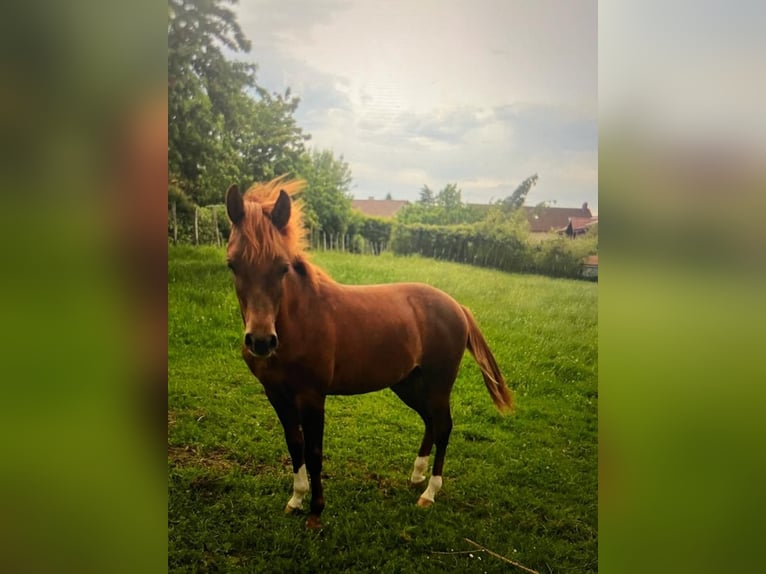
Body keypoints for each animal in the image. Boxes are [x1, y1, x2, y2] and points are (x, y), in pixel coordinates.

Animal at [226, 177, 516, 532]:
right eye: (232, 264)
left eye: (282, 268)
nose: (261, 341)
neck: (299, 319)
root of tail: (457, 307)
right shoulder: (276, 394)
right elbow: (295, 446)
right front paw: (295, 500)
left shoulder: (312, 396)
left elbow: (315, 452)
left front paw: (316, 511)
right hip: (408, 383)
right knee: (430, 422)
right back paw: (416, 476)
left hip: (438, 384)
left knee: (444, 426)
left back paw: (430, 493)